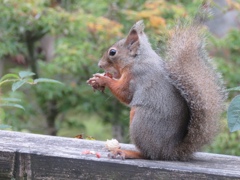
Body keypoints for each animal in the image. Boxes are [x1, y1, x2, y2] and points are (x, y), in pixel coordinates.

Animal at [87, 11, 226, 160]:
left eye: (112, 52)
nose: (100, 65)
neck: (138, 59)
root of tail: (167, 151)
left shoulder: (136, 76)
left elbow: (125, 94)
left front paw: (103, 79)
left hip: (140, 122)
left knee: (147, 154)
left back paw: (126, 152)